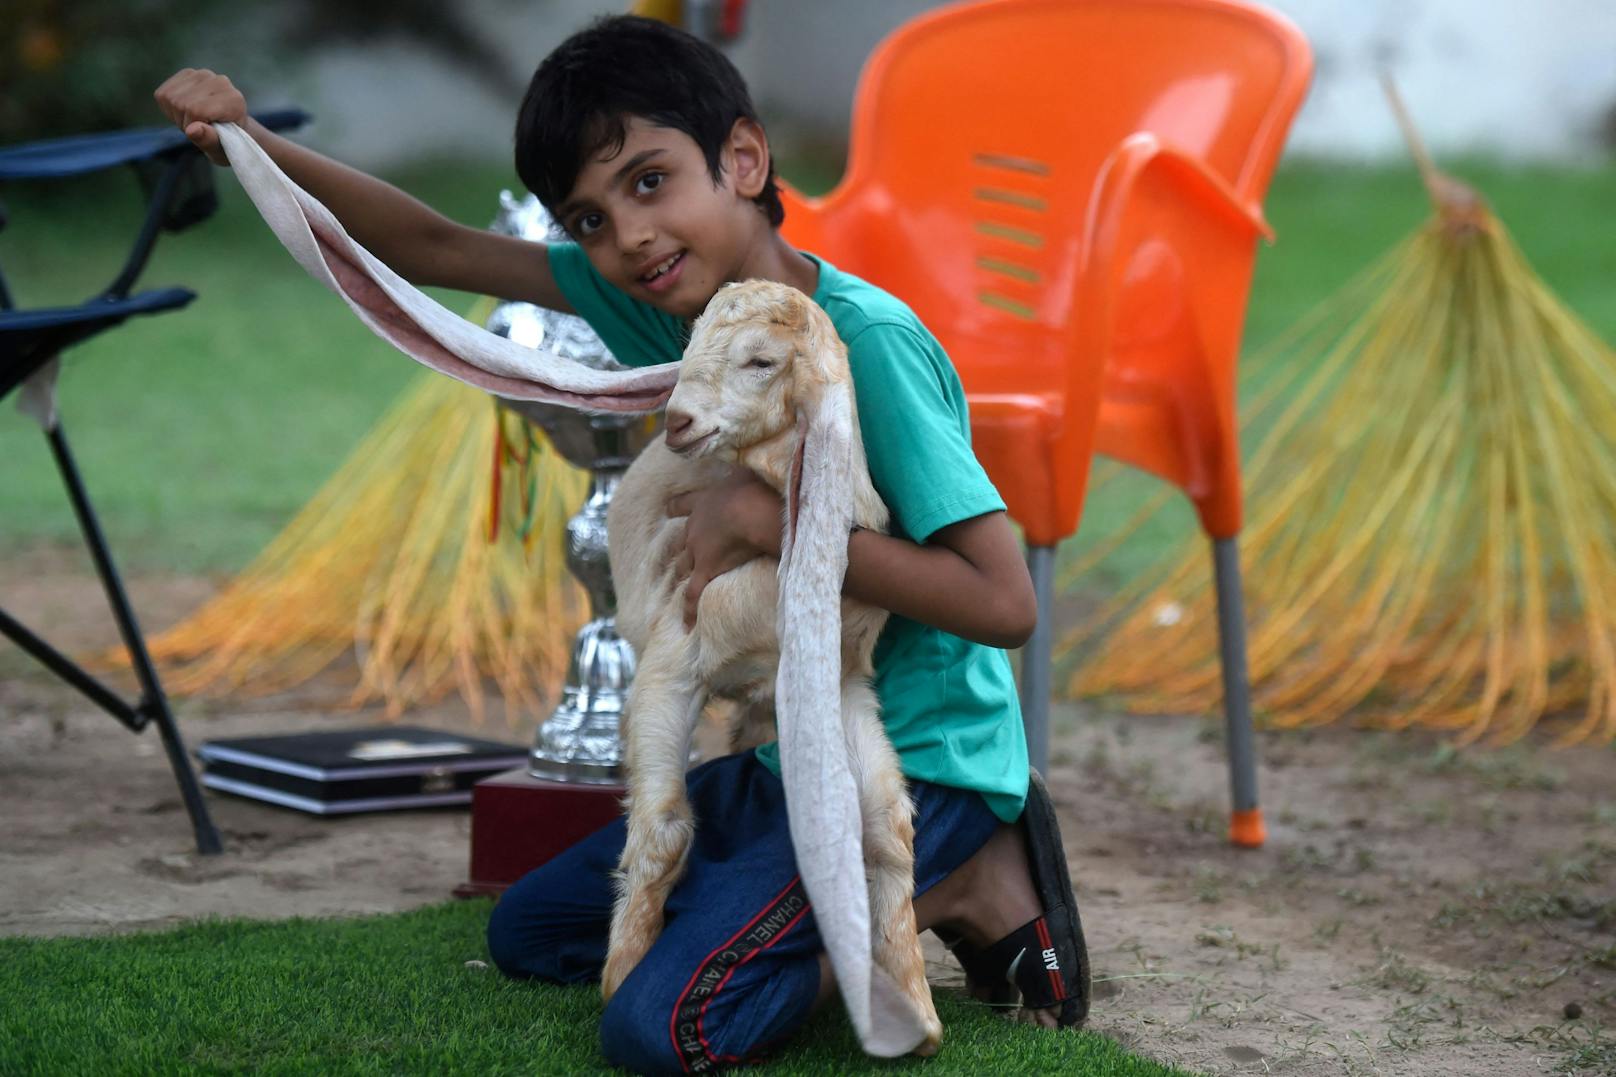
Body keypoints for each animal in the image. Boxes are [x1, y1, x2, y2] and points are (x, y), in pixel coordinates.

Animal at [604, 276, 937, 1047]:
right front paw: (619, 977)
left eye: (761, 361)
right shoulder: (672, 660)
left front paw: (916, 1009)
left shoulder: (840, 686)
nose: (678, 421)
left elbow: (887, 828)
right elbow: (665, 826)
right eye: (689, 345)